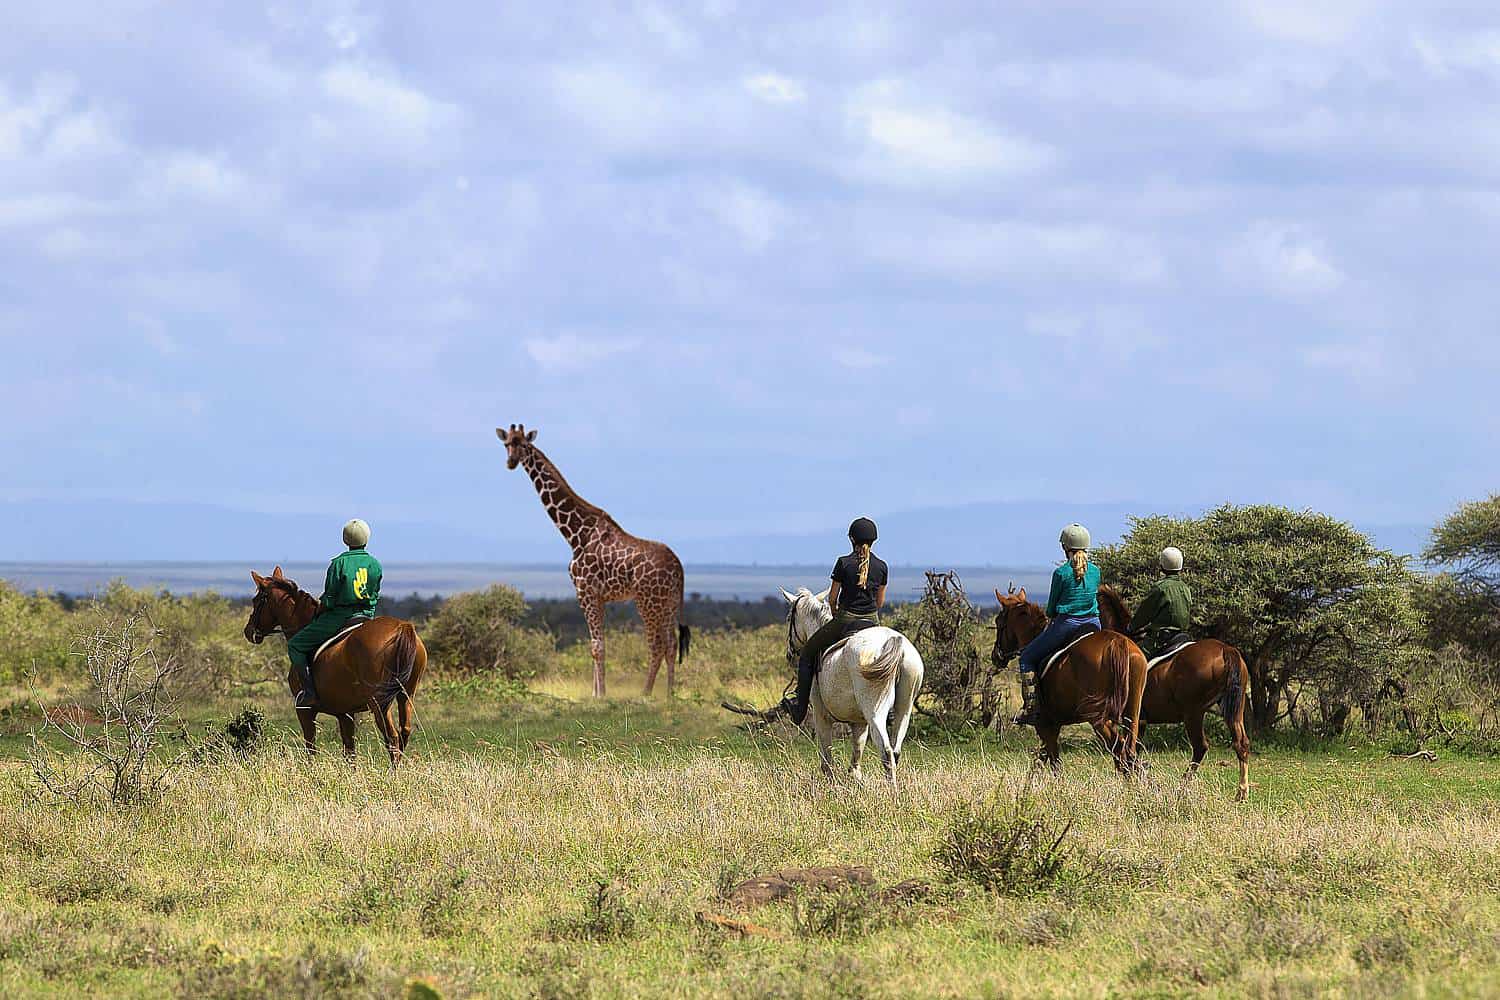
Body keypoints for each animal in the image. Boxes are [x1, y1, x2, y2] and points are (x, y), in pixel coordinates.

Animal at [243, 566, 426, 761]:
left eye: (256, 601)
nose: (248, 631)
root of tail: (402, 627)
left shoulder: (304, 710)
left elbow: (311, 748)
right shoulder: (345, 713)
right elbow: (350, 752)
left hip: (379, 704)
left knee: (392, 737)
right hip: (405, 695)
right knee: (404, 732)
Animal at [501, 422, 693, 695]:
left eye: (524, 445)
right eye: (507, 443)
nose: (511, 462)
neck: (575, 534)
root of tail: (679, 566)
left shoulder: (585, 591)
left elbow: (596, 646)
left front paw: (601, 695)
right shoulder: (599, 596)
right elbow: (597, 643)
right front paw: (595, 692)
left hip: (647, 601)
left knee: (657, 645)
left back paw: (646, 694)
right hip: (668, 602)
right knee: (671, 643)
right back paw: (668, 694)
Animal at [780, 587, 918, 779]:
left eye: (788, 619)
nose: (789, 655)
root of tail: (893, 641)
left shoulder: (821, 716)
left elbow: (827, 761)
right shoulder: (859, 722)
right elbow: (856, 761)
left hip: (875, 712)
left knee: (886, 752)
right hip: (904, 709)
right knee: (895, 750)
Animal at [984, 590, 1146, 779]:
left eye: (998, 622)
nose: (996, 656)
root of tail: (1117, 642)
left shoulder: (1046, 726)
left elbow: (1052, 762)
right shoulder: (1052, 725)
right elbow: (1041, 760)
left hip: (1097, 717)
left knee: (1119, 750)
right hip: (1132, 712)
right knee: (1129, 751)